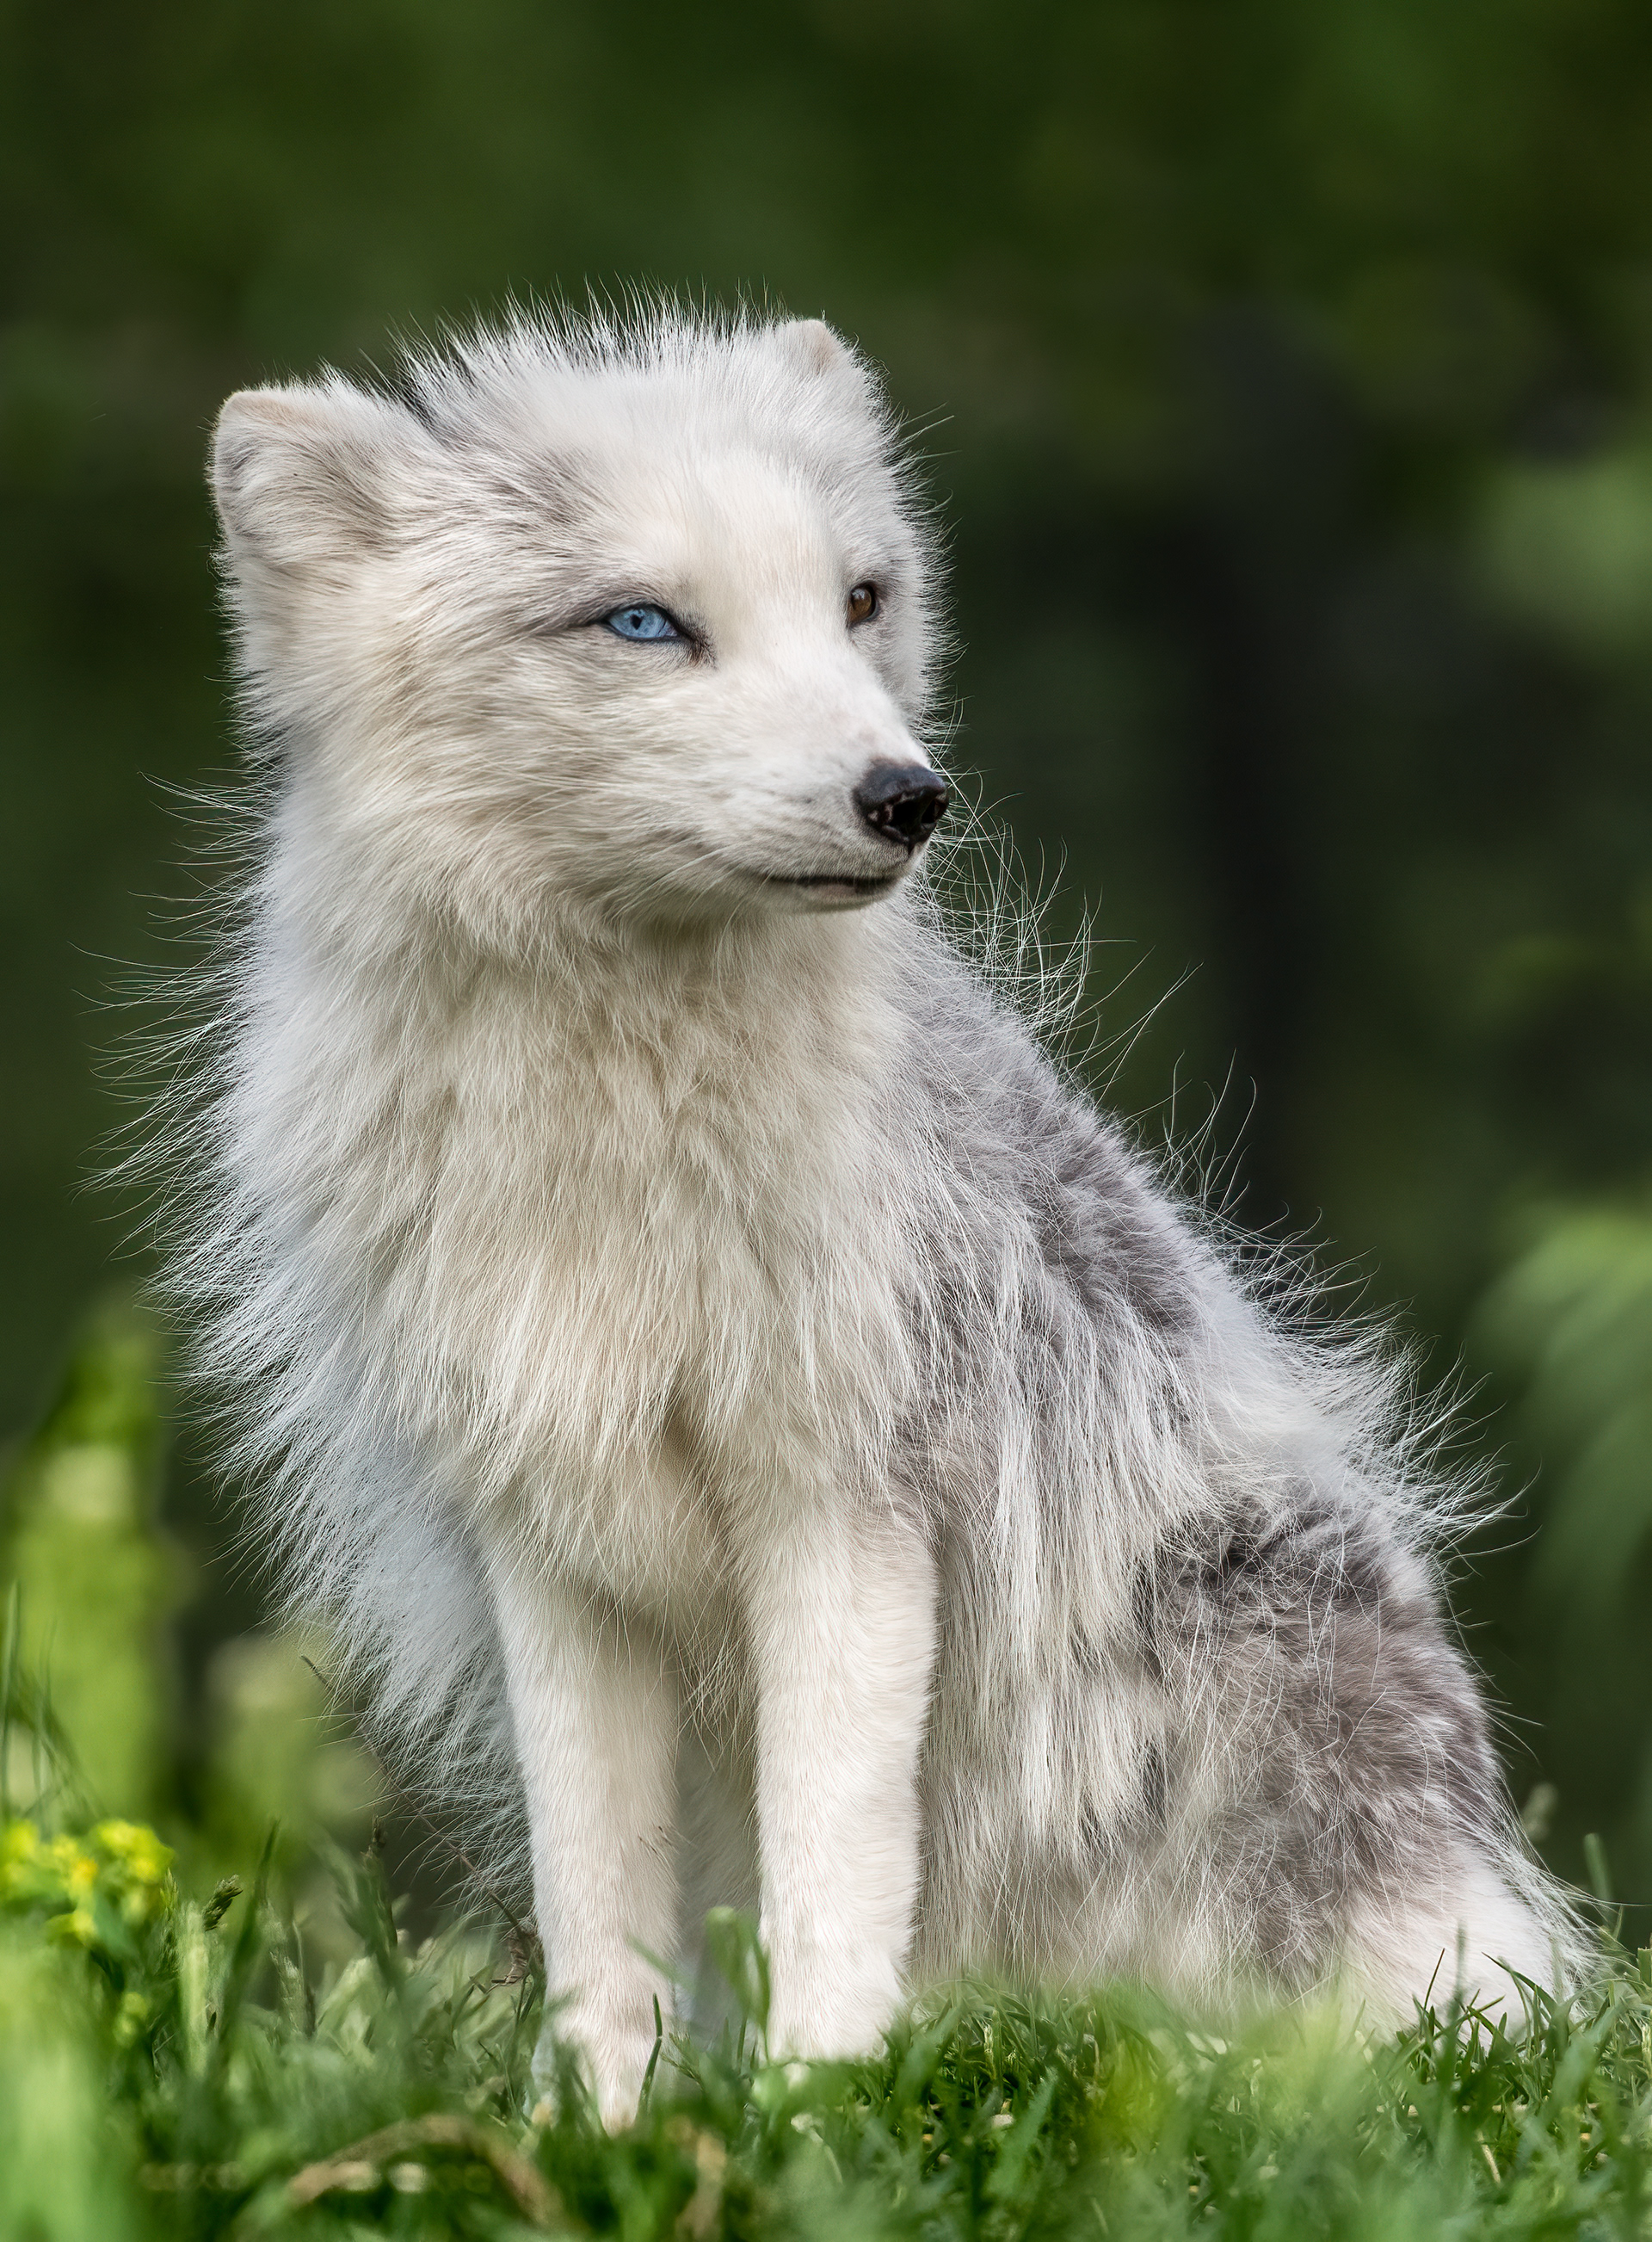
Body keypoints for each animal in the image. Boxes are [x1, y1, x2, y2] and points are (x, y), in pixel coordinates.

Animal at [173, 303, 1572, 2122]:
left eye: (859, 600)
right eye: (645, 622)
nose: (908, 796)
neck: (617, 1129)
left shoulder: (848, 1508)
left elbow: (833, 1877)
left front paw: (810, 2123)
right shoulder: (553, 1547)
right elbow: (592, 1906)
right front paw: (603, 2132)